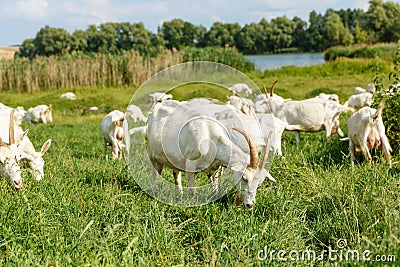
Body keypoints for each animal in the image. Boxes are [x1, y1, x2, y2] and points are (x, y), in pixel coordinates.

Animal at [147, 100, 276, 209]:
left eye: (259, 182)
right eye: (244, 178)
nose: (250, 205)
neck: (211, 139)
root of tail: (159, 104)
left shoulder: (215, 167)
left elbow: (215, 186)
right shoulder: (190, 164)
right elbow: (191, 189)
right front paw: (190, 202)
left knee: (175, 173)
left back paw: (179, 192)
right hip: (152, 154)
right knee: (155, 173)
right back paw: (154, 192)